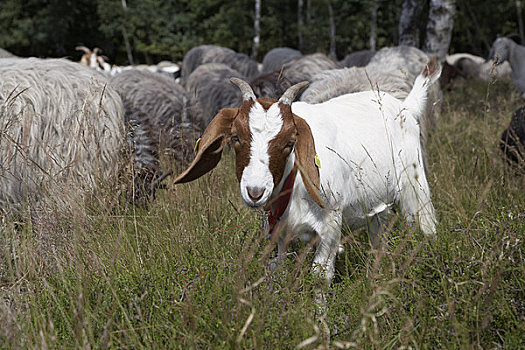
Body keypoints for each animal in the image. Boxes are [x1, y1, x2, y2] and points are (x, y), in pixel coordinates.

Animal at [172, 58, 438, 284]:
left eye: (289, 143)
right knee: (378, 241)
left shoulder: (331, 224)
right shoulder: (279, 232)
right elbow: (278, 270)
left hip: (415, 187)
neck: (294, 180)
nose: (255, 191)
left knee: (425, 227)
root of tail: (405, 107)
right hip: (377, 207)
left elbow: (320, 276)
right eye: (235, 137)